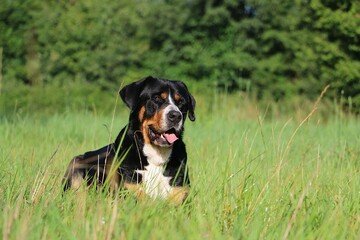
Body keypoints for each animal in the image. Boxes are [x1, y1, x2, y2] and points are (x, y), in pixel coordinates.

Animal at [62, 76, 197, 204]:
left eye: (181, 102)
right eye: (156, 98)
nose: (176, 115)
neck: (157, 156)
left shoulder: (180, 194)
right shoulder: (130, 190)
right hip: (75, 167)